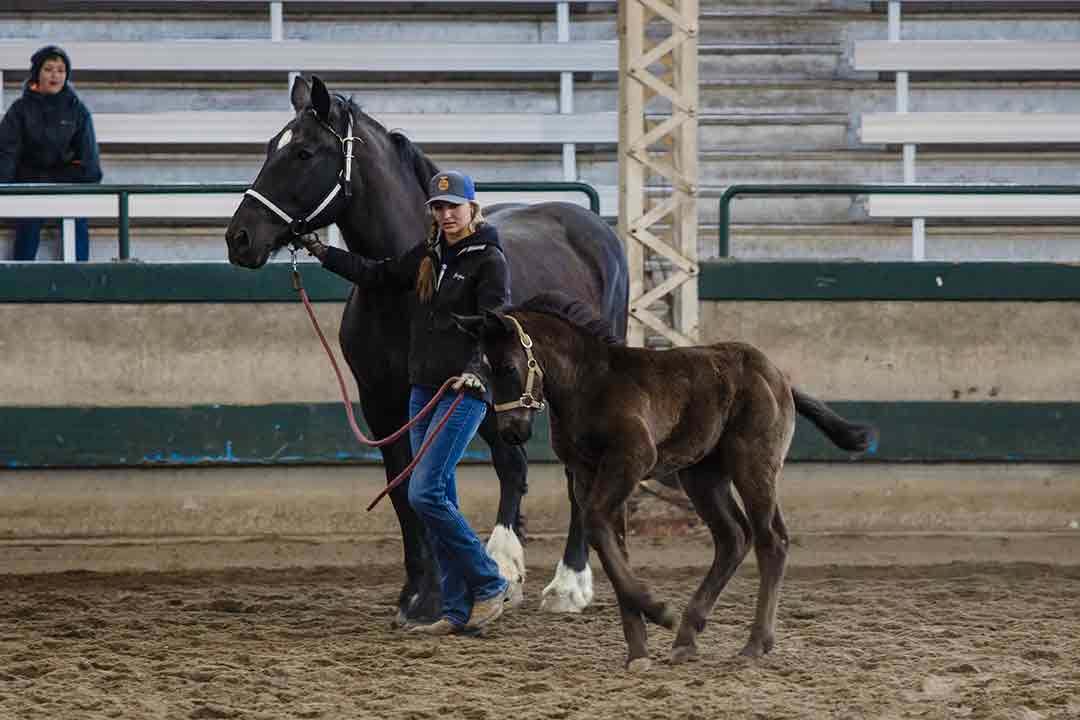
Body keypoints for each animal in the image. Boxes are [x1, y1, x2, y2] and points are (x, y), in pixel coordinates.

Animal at [223, 76, 630, 621]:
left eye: (304, 152)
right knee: (516, 468)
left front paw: (458, 589)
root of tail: (596, 230)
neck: (404, 288)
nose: (240, 238)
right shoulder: (384, 402)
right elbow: (406, 489)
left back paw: (568, 584)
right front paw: (419, 594)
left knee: (566, 473)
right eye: (271, 147)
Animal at [455, 291, 876, 669]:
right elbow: (609, 541)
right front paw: (639, 649)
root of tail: (777, 377)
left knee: (771, 539)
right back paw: (687, 636)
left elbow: (595, 523)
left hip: (753, 463)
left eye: (508, 367)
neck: (588, 384)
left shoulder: (632, 460)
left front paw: (658, 612)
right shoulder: (587, 473)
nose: (511, 432)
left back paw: (754, 643)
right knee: (733, 537)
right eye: (483, 369)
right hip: (702, 474)